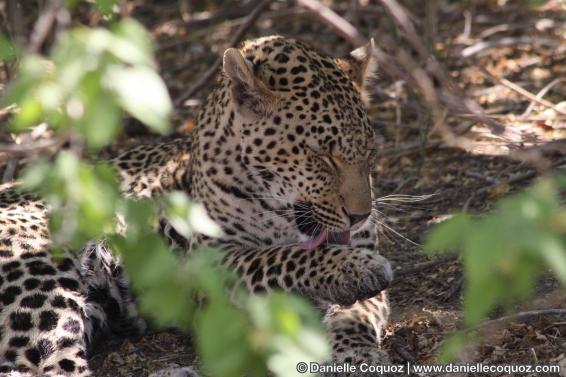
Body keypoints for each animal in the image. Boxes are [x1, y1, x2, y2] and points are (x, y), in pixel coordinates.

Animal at [1, 34, 394, 374]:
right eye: (321, 155)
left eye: (370, 151)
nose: (360, 216)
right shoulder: (211, 262)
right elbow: (283, 256)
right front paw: (353, 267)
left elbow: (355, 314)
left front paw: (358, 352)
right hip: (42, 282)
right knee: (49, 365)